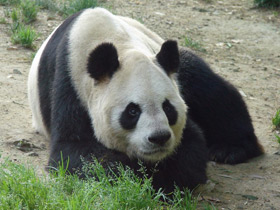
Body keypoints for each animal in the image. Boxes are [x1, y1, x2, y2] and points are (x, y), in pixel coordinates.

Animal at [27, 7, 264, 193]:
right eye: (132, 111)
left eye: (168, 108)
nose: (159, 138)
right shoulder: (71, 87)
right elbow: (77, 152)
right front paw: (135, 175)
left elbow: (190, 149)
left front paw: (162, 176)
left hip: (179, 66)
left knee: (213, 93)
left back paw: (230, 149)